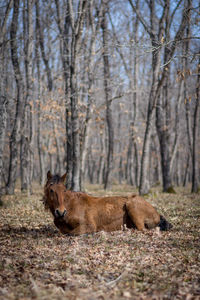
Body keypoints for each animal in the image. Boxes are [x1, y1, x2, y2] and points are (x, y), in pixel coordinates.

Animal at [42, 171, 172, 234]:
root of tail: (157, 213)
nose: (60, 212)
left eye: (64, 190)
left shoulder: (88, 225)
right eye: (51, 190)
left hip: (132, 205)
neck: (70, 206)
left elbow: (70, 233)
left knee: (142, 230)